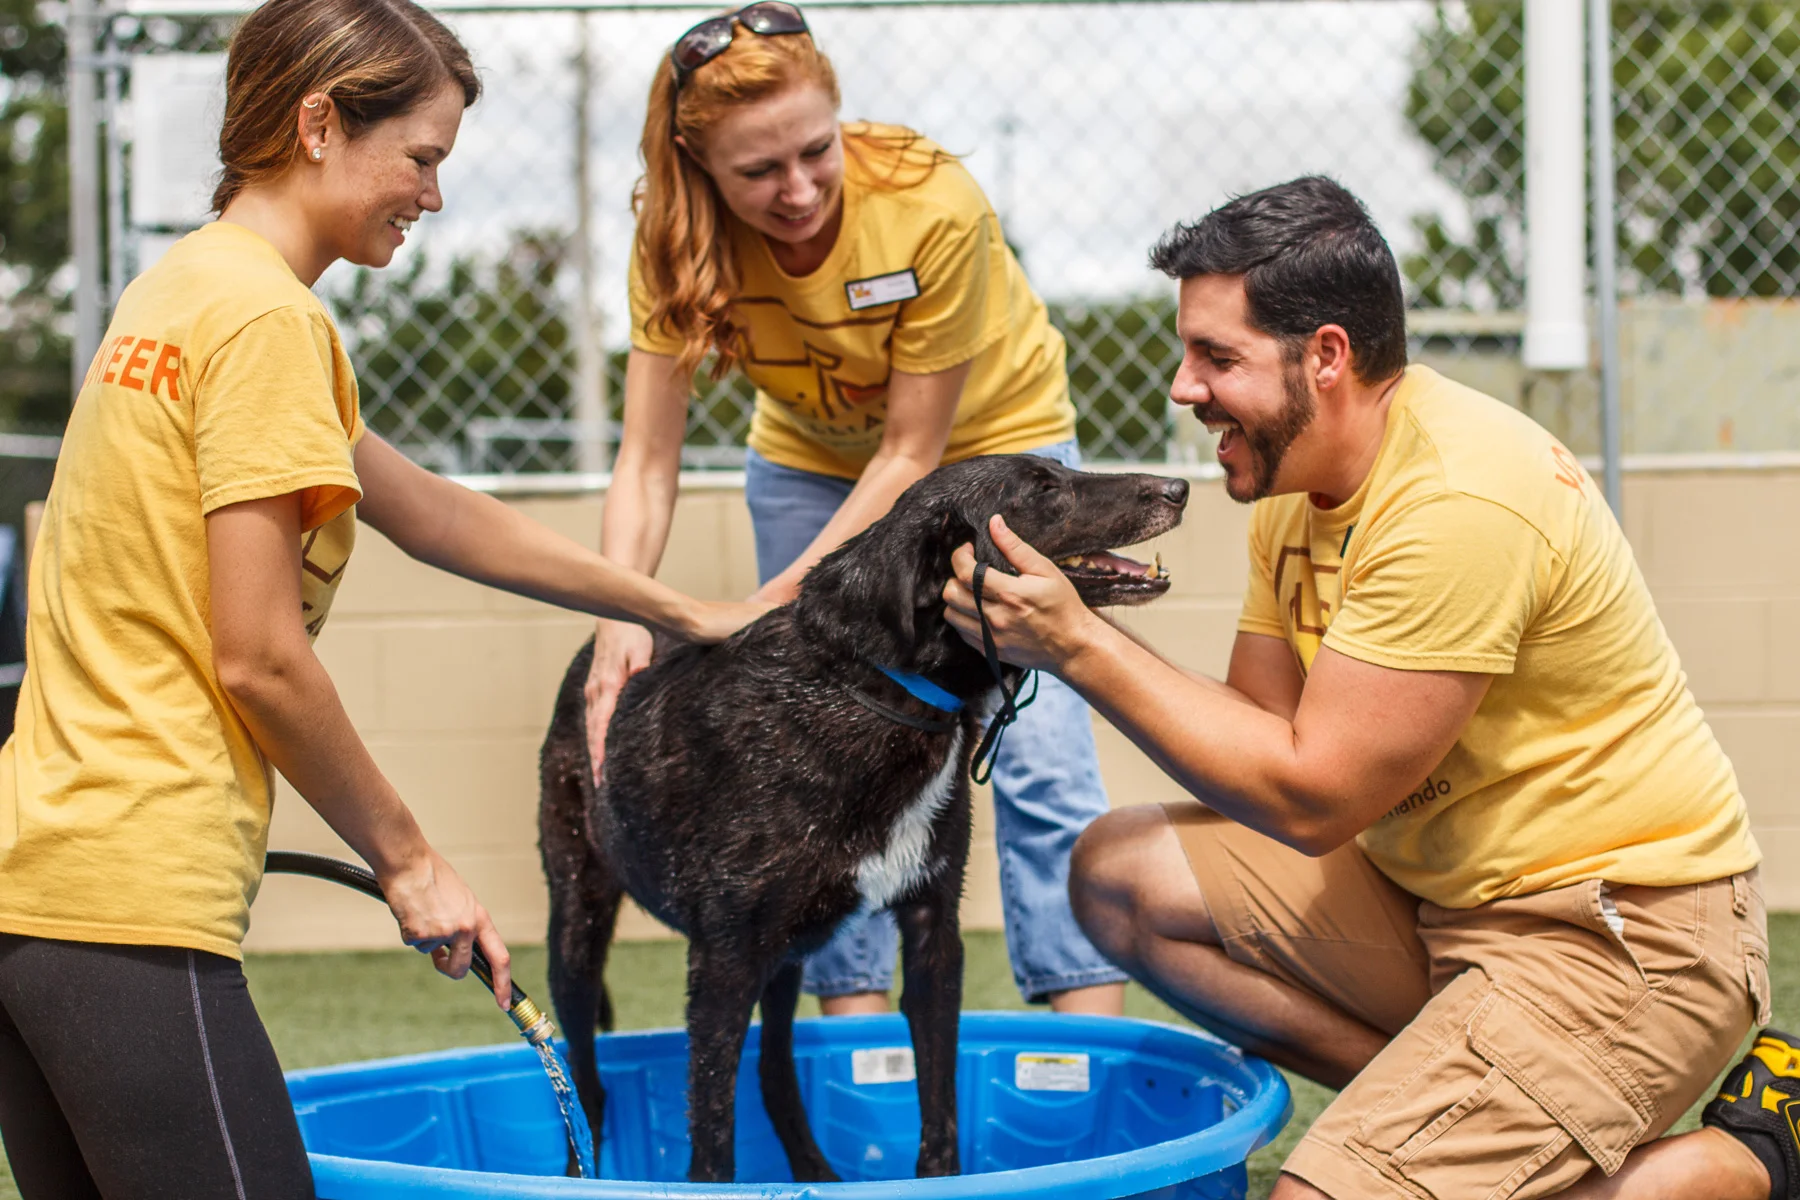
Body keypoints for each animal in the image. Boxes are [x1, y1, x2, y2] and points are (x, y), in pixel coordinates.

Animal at [536, 456, 1180, 1180]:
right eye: (1043, 490)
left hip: (785, 956)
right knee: (586, 1080)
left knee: (774, 1071)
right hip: (580, 924)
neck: (885, 688)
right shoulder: (723, 959)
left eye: (1062, 466)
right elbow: (712, 1135)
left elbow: (939, 1100)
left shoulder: (933, 935)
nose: (1178, 489)